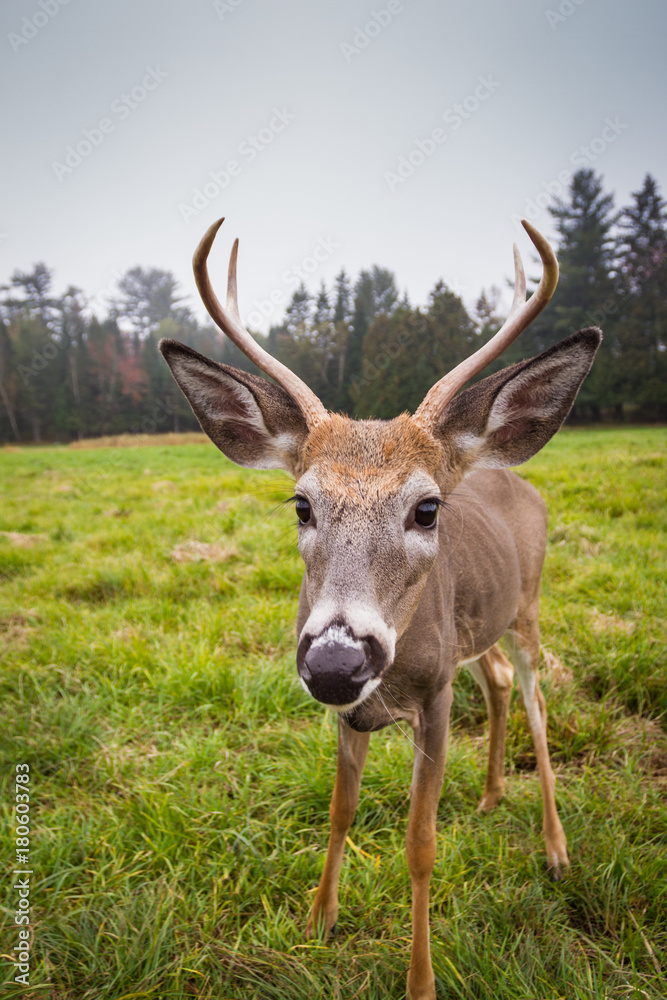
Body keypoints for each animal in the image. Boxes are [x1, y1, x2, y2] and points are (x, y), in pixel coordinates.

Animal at [159, 217, 601, 1000]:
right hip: (478, 628)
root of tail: (507, 473)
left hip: (526, 611)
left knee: (537, 702)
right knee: (496, 682)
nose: (337, 660)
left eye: (425, 509)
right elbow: (340, 811)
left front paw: (420, 979)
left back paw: (555, 850)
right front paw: (319, 920)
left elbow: (420, 843)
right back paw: (490, 796)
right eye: (301, 503)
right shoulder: (351, 710)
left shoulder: (435, 695)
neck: (390, 679)